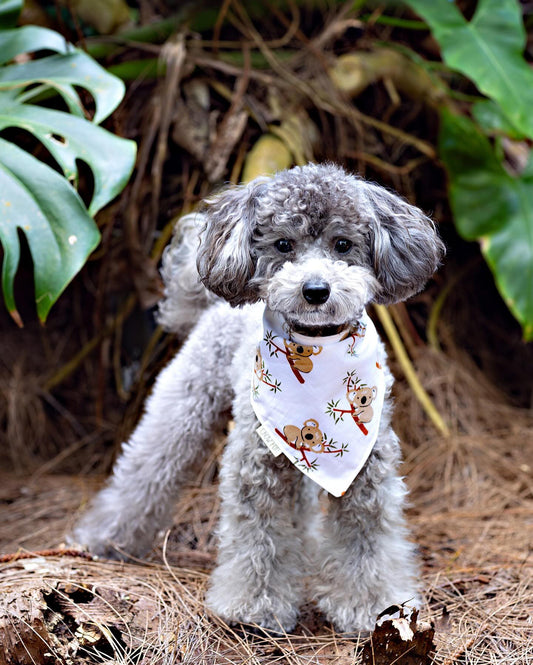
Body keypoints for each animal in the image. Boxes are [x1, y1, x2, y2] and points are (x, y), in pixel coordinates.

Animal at [71, 162, 444, 632]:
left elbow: (367, 538)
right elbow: (258, 538)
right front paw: (256, 606)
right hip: (182, 408)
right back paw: (103, 539)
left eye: (343, 244)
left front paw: (369, 606)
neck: (316, 351)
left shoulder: (367, 473)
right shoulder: (255, 469)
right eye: (283, 244)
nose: (315, 290)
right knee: (144, 474)